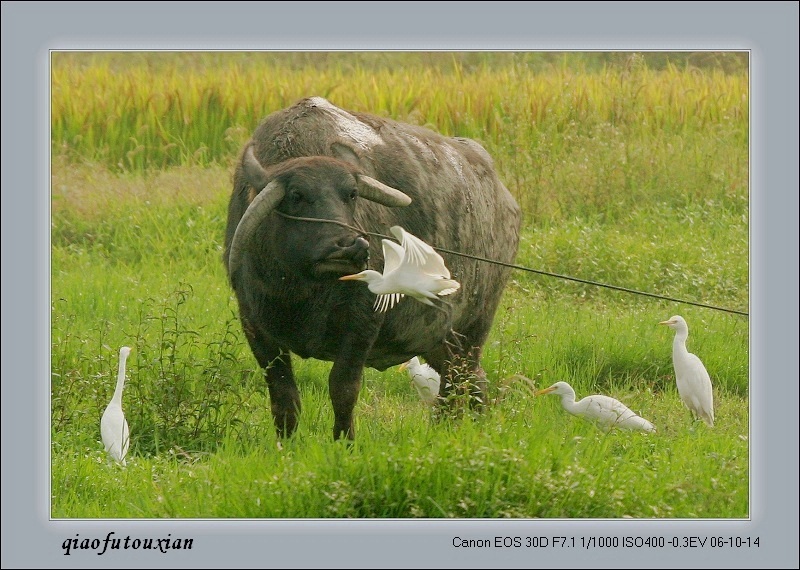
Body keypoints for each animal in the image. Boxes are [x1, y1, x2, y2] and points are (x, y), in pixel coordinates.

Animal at [225, 96, 520, 440]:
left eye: (351, 194)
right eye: (297, 195)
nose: (349, 246)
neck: (302, 289)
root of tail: (504, 198)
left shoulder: (363, 323)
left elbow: (343, 388)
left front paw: (345, 439)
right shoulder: (254, 324)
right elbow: (284, 396)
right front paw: (285, 441)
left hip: (473, 327)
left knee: (460, 379)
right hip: (440, 338)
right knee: (469, 379)